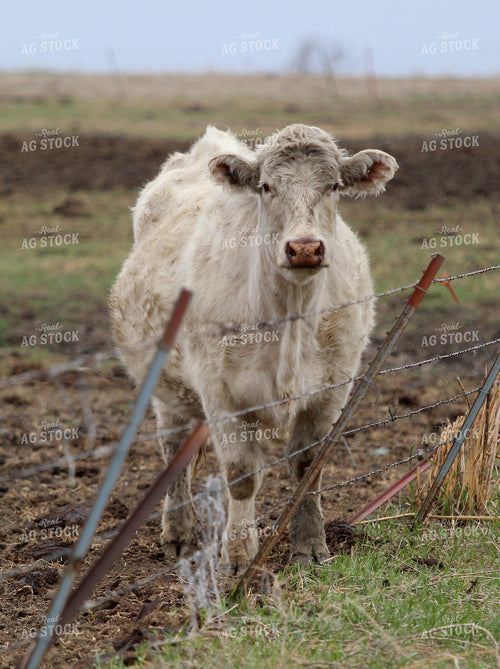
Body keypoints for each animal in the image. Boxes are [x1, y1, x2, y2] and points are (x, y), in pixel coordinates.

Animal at [109, 124, 398, 574]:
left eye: (334, 186)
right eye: (266, 187)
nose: (304, 247)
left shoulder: (332, 390)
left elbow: (307, 467)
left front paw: (310, 547)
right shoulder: (221, 394)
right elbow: (242, 475)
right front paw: (241, 555)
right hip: (165, 386)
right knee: (173, 451)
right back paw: (179, 533)